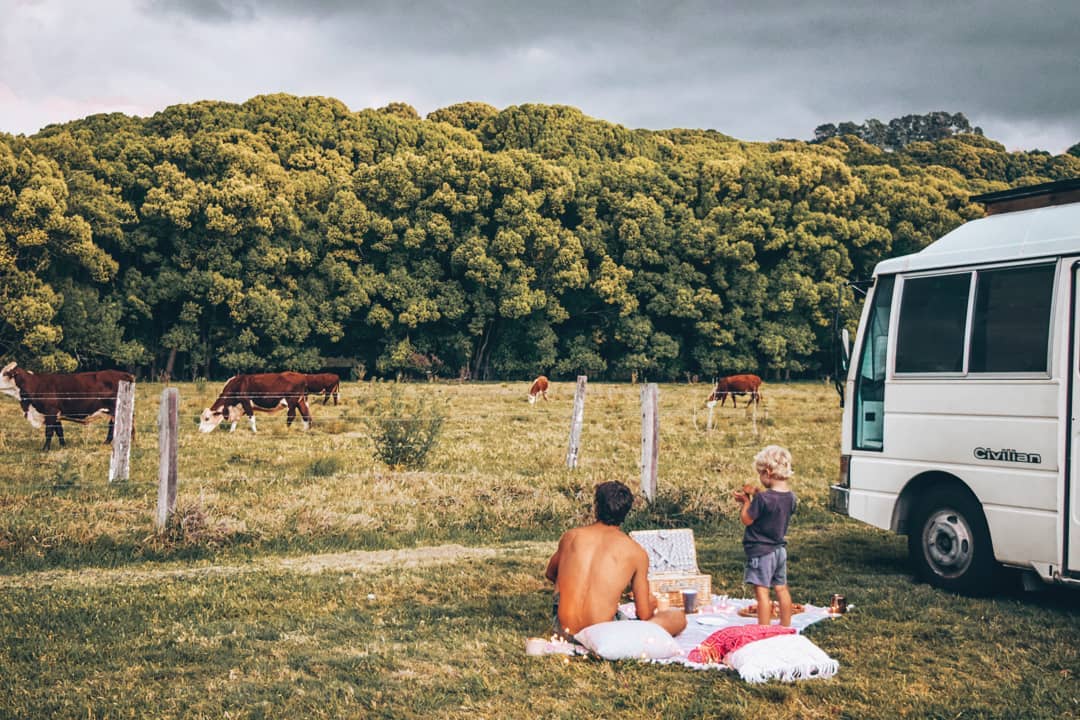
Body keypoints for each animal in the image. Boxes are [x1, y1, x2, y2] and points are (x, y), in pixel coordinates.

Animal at [0, 360, 135, 451]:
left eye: (6, 373)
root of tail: (125, 374)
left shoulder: (50, 412)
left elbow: (49, 432)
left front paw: (45, 449)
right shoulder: (56, 414)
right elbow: (59, 431)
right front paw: (63, 445)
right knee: (113, 424)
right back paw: (107, 442)